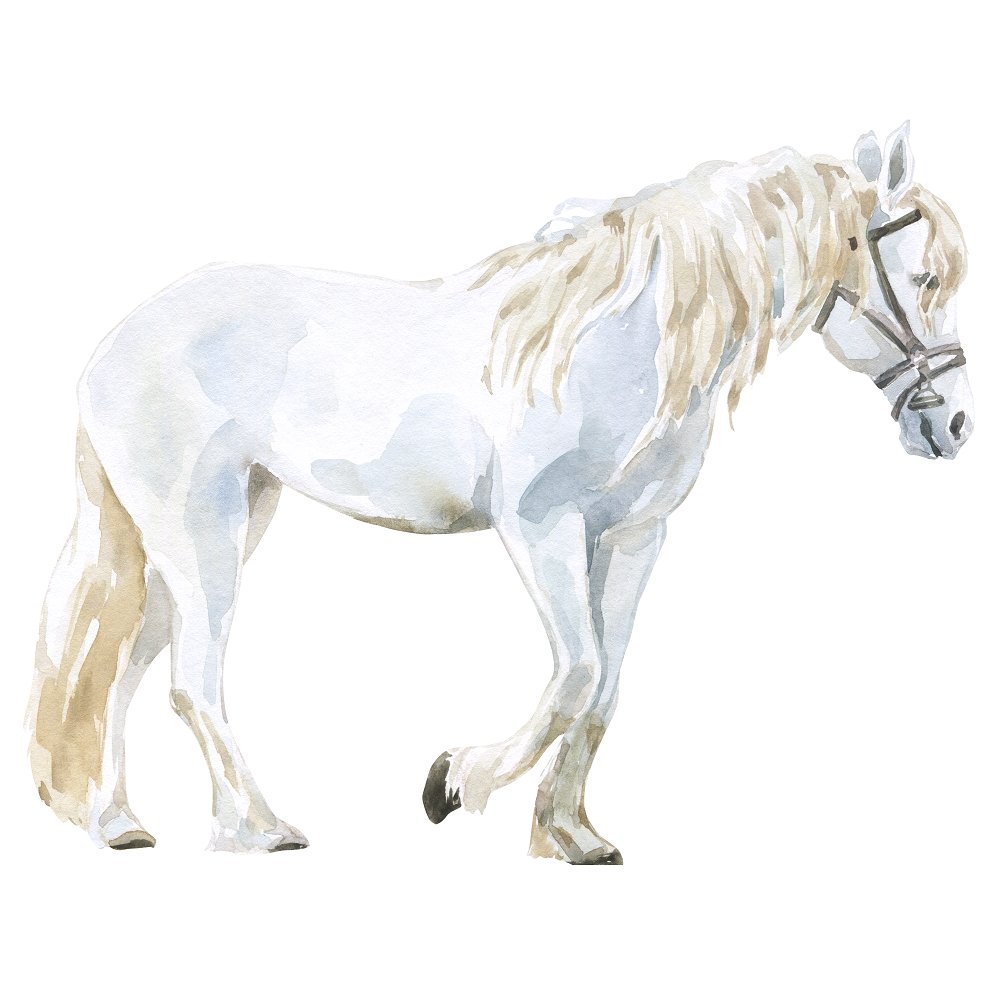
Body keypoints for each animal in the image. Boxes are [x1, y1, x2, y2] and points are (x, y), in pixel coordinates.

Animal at [27, 123, 973, 863]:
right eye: (923, 277)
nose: (955, 425)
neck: (618, 343)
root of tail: (115, 343)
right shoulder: (541, 527)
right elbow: (576, 673)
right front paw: (451, 783)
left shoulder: (635, 535)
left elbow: (606, 687)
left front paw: (572, 836)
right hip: (199, 530)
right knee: (191, 678)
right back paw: (259, 830)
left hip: (206, 529)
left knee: (124, 667)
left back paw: (119, 824)